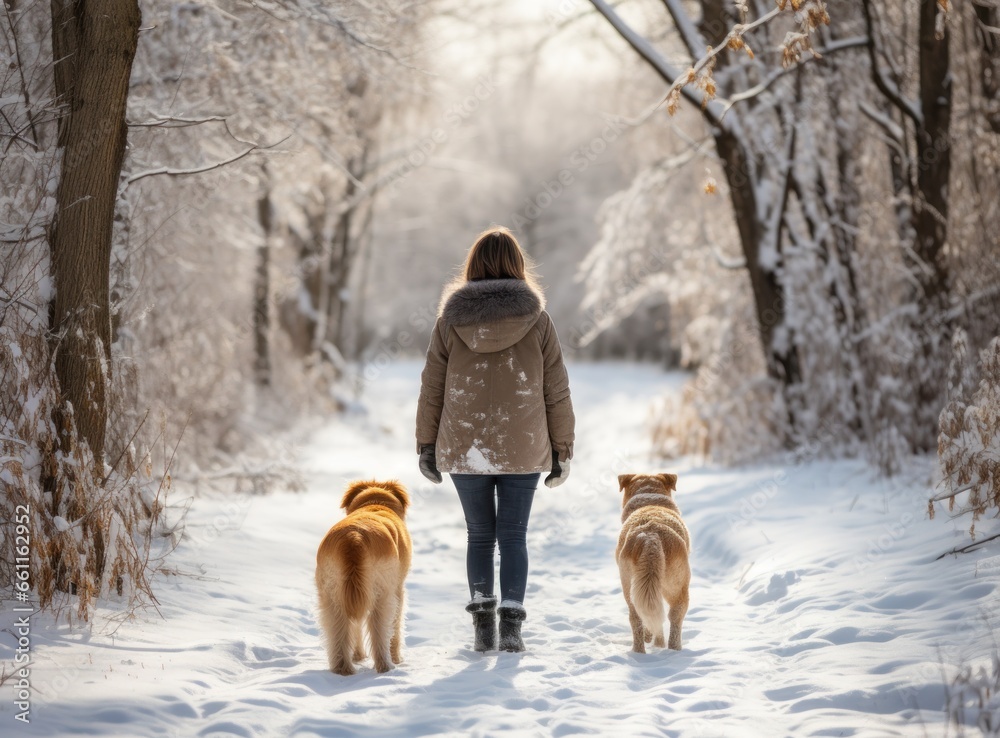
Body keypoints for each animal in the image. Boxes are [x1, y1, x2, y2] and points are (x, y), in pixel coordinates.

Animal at [310, 478, 408, 672]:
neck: (375, 504)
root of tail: (354, 537)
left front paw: (358, 656)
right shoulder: (398, 589)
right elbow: (396, 625)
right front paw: (397, 658)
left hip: (333, 595)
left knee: (338, 629)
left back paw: (342, 668)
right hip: (382, 594)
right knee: (380, 629)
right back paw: (386, 666)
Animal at [612, 472, 692, 648]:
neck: (649, 500)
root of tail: (651, 535)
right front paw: (659, 643)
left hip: (630, 584)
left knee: (637, 617)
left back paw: (639, 649)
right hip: (678, 586)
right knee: (675, 616)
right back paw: (674, 649)